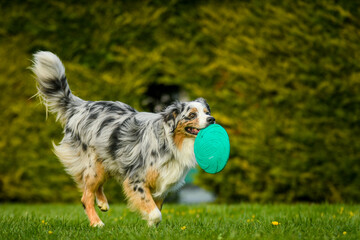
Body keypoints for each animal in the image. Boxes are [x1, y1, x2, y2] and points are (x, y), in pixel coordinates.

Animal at [31, 51, 215, 227]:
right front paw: (151, 221)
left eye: (207, 112)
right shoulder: (136, 179)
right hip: (93, 165)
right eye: (192, 115)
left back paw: (103, 203)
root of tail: (81, 106)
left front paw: (152, 227)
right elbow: (155, 213)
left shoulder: (162, 184)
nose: (212, 119)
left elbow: (157, 209)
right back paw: (96, 223)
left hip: (106, 160)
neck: (171, 142)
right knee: (85, 197)